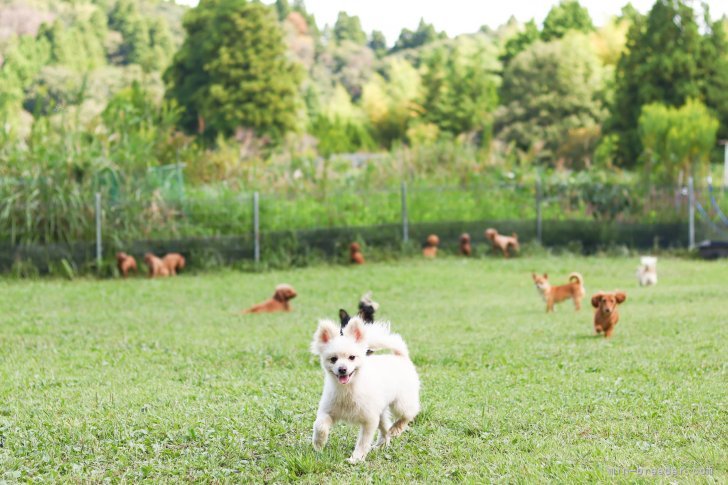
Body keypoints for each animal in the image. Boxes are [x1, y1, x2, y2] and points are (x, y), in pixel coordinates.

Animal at [308, 316, 420, 464]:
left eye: (352, 357)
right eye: (333, 359)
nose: (342, 369)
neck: (348, 389)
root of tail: (400, 356)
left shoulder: (369, 420)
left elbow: (363, 442)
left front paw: (356, 458)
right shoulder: (327, 411)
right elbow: (319, 425)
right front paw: (319, 443)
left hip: (401, 403)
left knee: (409, 414)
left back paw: (396, 429)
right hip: (381, 412)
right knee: (385, 428)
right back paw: (381, 445)